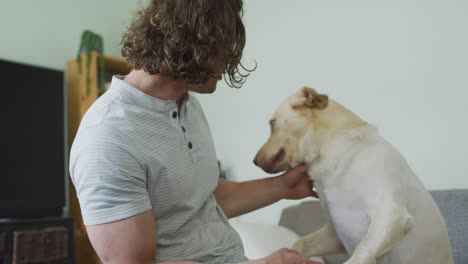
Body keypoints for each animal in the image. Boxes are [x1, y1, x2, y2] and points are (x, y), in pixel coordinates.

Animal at [254, 87, 452, 264]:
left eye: (272, 123)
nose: (254, 161)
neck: (340, 151)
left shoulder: (391, 214)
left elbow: (362, 251)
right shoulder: (335, 233)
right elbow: (300, 243)